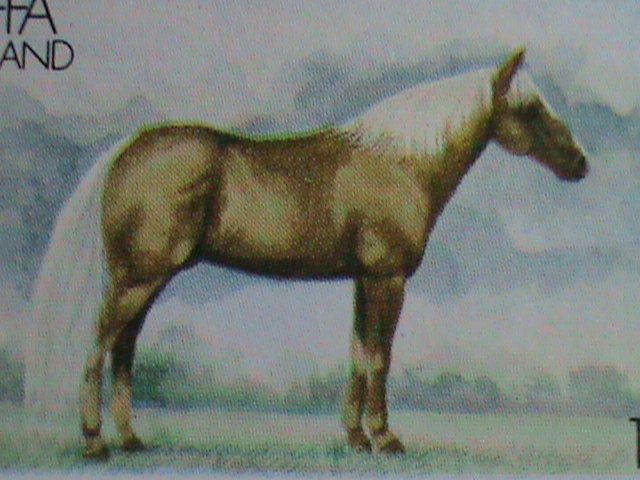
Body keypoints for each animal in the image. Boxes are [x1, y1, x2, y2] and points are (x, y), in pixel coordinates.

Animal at [25, 48, 588, 459]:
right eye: (530, 108)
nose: (579, 163)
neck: (401, 163)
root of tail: (129, 150)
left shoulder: (364, 280)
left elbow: (359, 355)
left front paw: (356, 438)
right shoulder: (387, 279)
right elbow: (380, 357)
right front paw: (385, 439)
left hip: (149, 280)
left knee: (124, 349)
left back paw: (131, 440)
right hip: (138, 278)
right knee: (99, 344)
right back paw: (95, 442)